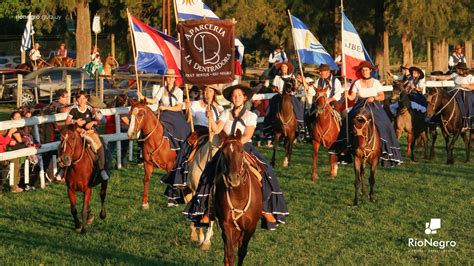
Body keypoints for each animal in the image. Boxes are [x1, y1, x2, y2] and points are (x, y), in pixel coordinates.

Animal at [215, 131, 262, 266]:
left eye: (241, 151)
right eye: (223, 152)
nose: (233, 179)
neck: (239, 196)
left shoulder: (251, 227)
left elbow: (242, 252)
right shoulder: (226, 225)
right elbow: (230, 254)